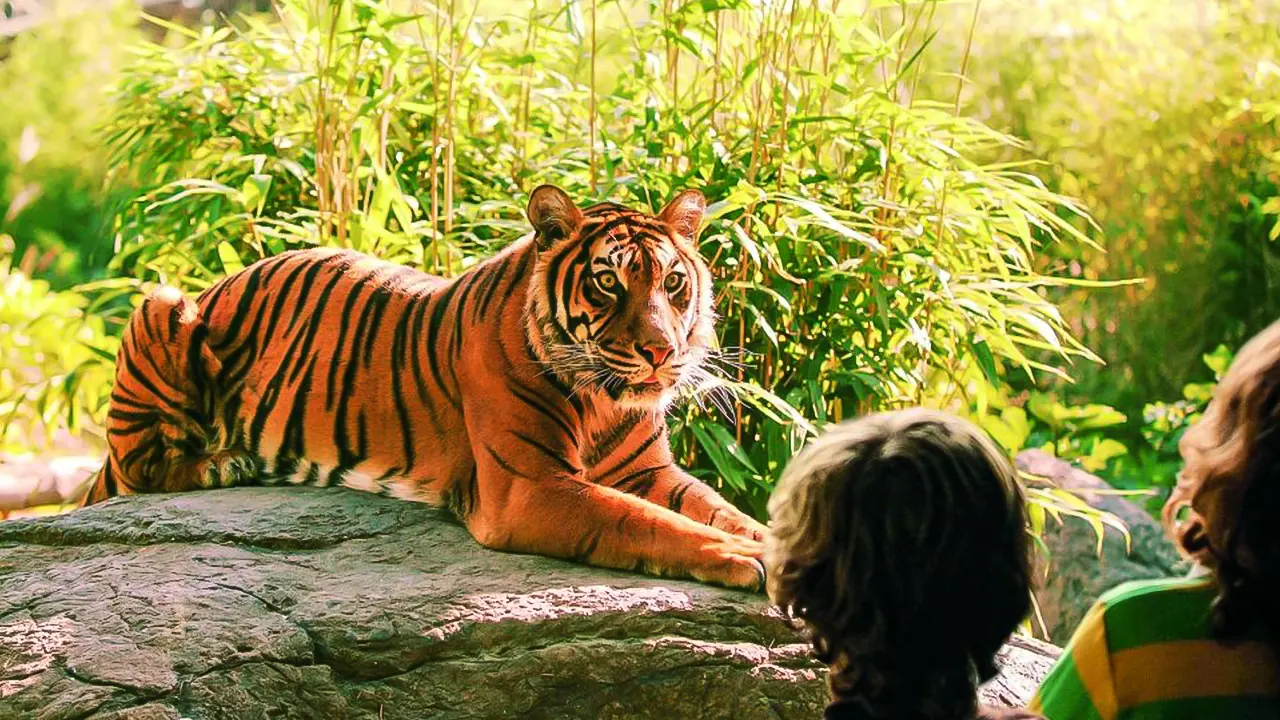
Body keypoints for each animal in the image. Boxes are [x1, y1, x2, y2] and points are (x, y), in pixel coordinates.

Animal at [87, 184, 768, 589]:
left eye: (673, 283)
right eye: (607, 282)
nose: (661, 352)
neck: (603, 402)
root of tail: (219, 282)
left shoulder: (647, 471)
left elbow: (718, 509)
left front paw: (764, 542)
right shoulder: (530, 487)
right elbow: (646, 522)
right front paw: (742, 558)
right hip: (162, 302)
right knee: (139, 469)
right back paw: (223, 464)